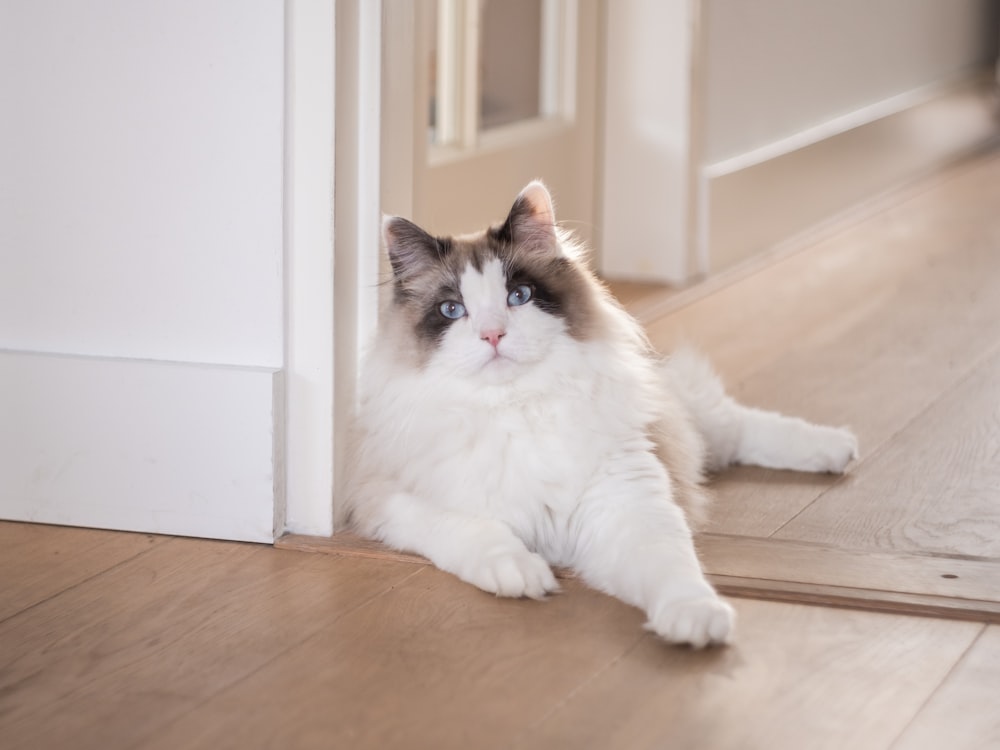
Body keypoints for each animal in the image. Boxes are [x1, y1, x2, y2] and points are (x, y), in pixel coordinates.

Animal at [338, 179, 860, 648]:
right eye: (452, 310)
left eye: (518, 297)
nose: (492, 335)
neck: (516, 408)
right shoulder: (391, 499)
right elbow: (477, 532)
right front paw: (522, 573)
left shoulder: (629, 503)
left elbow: (675, 572)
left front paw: (695, 620)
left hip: (690, 421)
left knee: (738, 424)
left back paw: (837, 448)